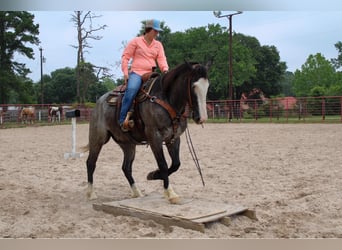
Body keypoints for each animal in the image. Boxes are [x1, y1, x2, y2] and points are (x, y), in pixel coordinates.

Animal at [84, 61, 210, 204]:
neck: (166, 99)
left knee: (126, 167)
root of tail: (99, 102)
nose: (202, 118)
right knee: (91, 163)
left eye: (207, 86)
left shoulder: (173, 138)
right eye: (194, 86)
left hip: (127, 144)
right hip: (97, 138)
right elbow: (163, 165)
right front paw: (170, 193)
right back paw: (91, 193)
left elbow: (176, 164)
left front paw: (153, 175)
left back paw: (136, 192)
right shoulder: (155, 137)